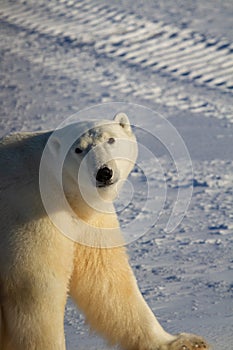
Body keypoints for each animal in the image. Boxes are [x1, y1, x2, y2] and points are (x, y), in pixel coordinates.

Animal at [0, 113, 209, 348]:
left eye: (110, 139)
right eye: (78, 149)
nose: (104, 173)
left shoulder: (91, 221)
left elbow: (107, 278)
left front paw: (183, 342)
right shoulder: (28, 213)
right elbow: (36, 288)